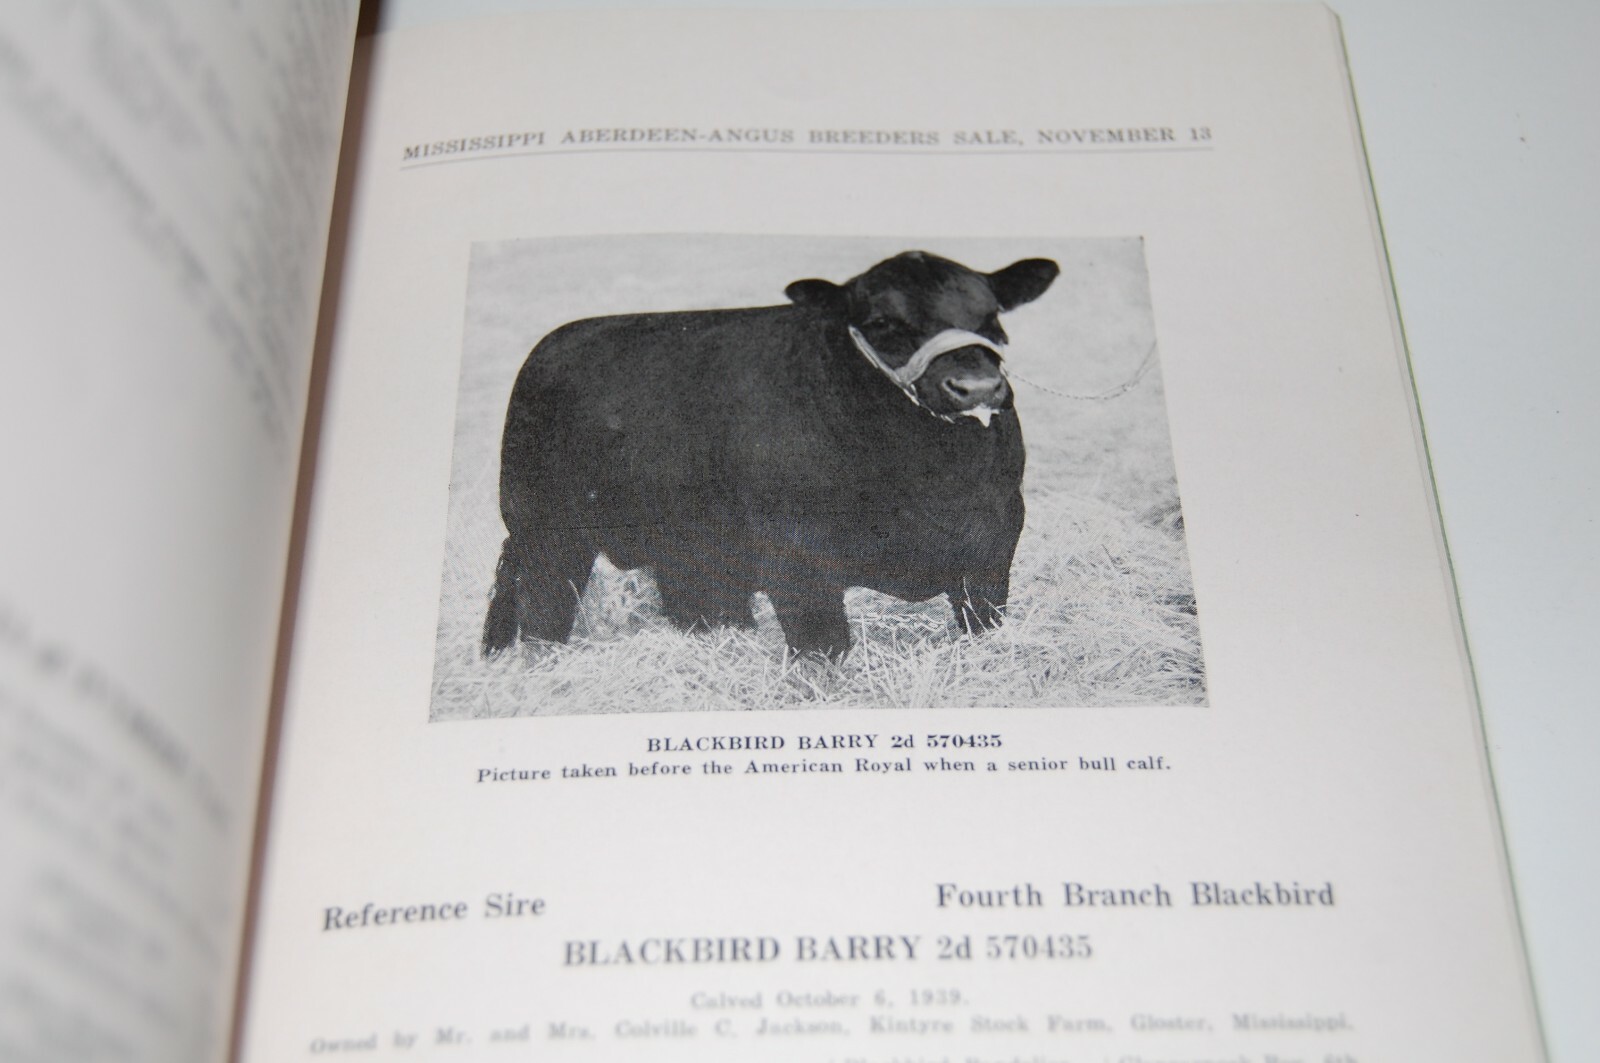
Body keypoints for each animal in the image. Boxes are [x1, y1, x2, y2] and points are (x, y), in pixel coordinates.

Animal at [483, 250, 1060, 660]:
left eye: (993, 316)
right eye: (882, 322)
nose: (976, 387)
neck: (933, 476)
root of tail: (555, 341)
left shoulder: (993, 549)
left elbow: (982, 626)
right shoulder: (798, 558)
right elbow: (823, 650)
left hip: (687, 540)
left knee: (695, 600)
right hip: (545, 529)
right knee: (540, 600)